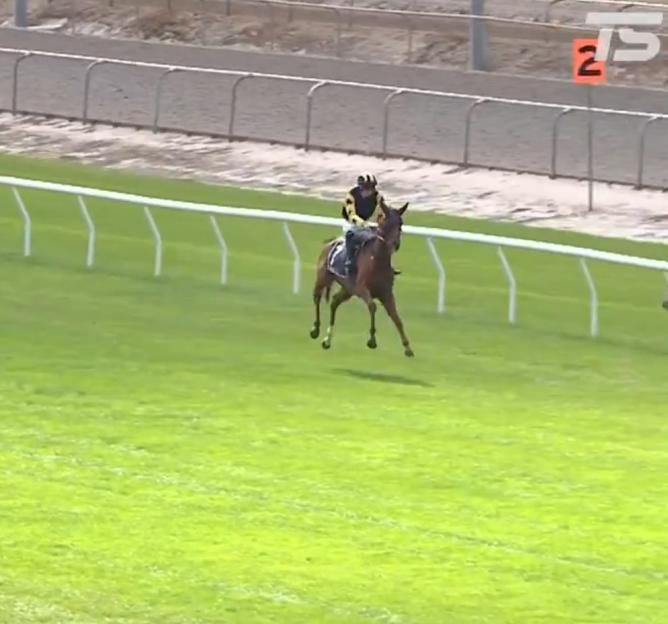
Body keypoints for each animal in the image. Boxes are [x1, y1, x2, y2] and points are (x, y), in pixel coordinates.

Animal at [310, 200, 414, 356]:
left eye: (400, 223)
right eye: (385, 221)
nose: (395, 244)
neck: (377, 262)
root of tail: (331, 242)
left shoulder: (386, 293)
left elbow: (396, 318)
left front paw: (407, 347)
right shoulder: (362, 289)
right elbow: (372, 306)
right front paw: (372, 340)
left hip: (348, 289)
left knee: (334, 301)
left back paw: (327, 339)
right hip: (323, 278)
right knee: (317, 297)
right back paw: (315, 329)